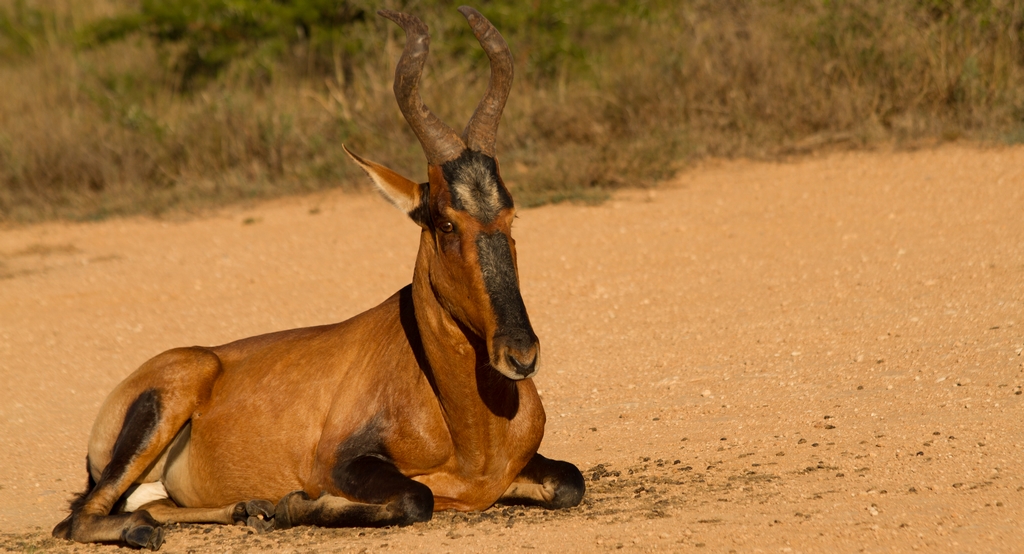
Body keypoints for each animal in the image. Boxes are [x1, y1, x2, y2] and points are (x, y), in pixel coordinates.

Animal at [54, 8, 585, 548]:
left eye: (511, 213)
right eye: (445, 222)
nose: (520, 354)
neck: (471, 430)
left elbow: (571, 481)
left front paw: (274, 507)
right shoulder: (340, 462)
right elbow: (418, 497)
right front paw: (293, 504)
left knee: (156, 505)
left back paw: (246, 509)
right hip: (163, 407)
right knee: (76, 519)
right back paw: (151, 529)